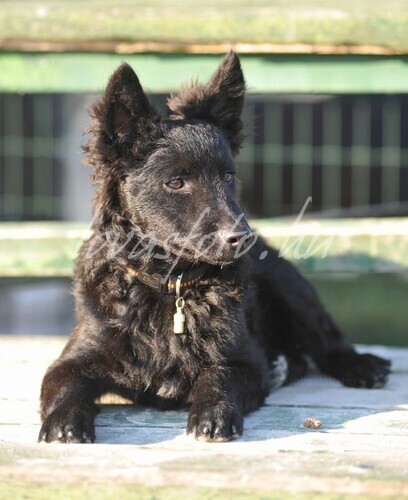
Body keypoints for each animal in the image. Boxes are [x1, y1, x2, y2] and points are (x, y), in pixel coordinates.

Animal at [39, 51, 390, 443]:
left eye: (228, 176)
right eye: (176, 182)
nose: (244, 238)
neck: (169, 288)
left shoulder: (245, 363)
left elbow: (219, 375)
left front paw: (213, 412)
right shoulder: (74, 359)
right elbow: (64, 384)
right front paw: (63, 421)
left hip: (291, 289)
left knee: (328, 342)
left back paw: (360, 365)